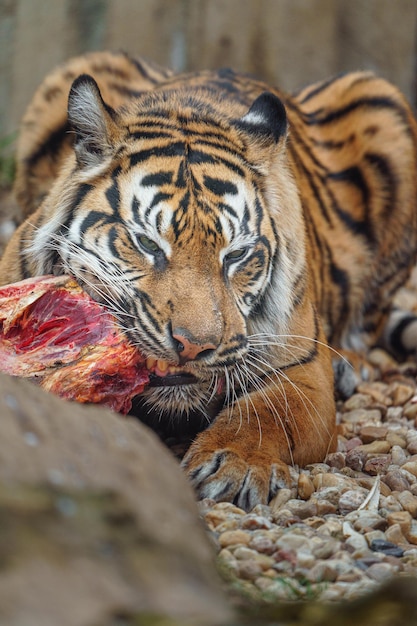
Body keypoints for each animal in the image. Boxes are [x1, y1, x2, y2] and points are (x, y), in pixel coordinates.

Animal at [0, 51, 416, 510]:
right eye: (147, 243)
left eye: (235, 256)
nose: (195, 347)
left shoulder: (303, 371)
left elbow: (268, 414)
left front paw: (234, 464)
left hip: (384, 102)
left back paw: (349, 363)